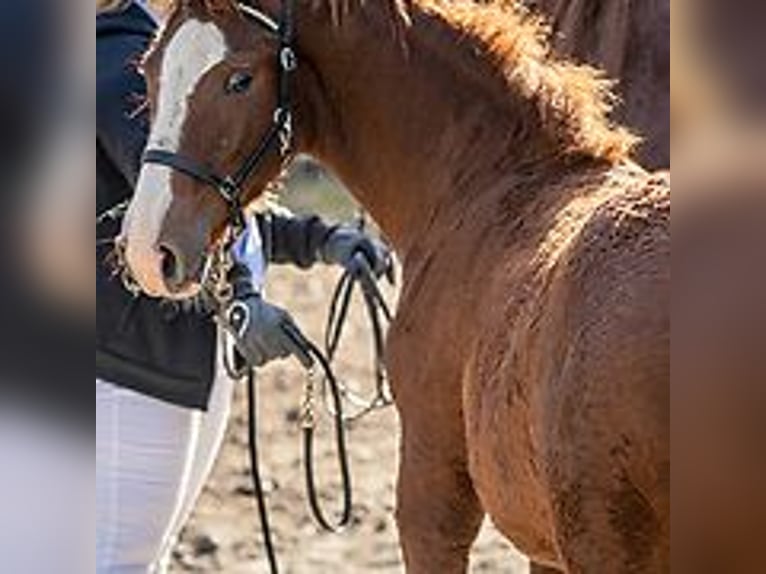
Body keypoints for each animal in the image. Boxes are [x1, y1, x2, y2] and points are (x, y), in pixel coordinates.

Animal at [121, 0, 672, 572]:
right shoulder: (538, 539)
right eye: (149, 70)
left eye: (240, 79)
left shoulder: (431, 482)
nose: (146, 250)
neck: (486, 185)